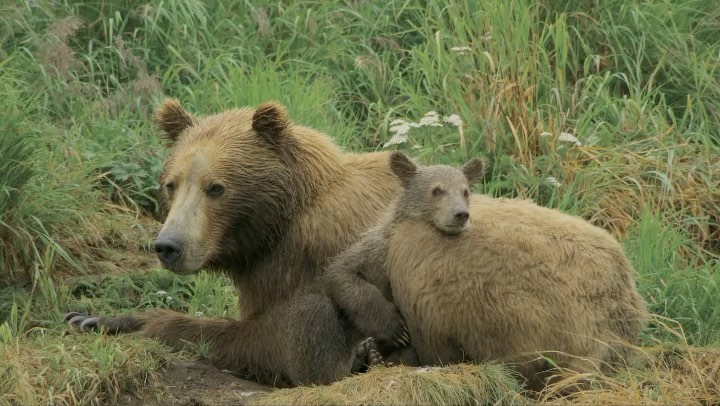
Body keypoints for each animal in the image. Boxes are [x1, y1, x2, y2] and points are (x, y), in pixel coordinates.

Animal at [66, 100, 410, 386]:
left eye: (216, 187)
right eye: (171, 185)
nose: (168, 246)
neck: (277, 224)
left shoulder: (308, 259)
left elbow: (268, 338)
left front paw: (136, 323)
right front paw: (92, 317)